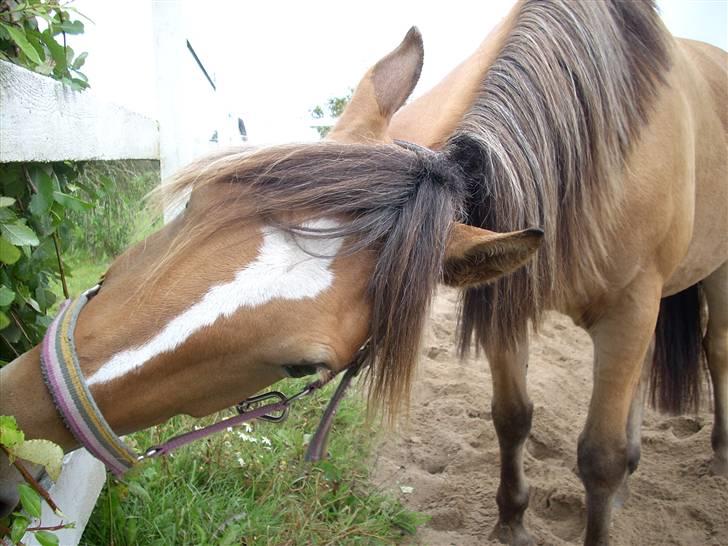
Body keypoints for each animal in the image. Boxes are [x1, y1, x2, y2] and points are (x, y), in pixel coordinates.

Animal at [382, 1, 728, 544]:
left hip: (715, 274)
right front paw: (511, 520)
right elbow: (512, 418)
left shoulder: (630, 309)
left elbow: (600, 458)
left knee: (717, 351)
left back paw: (719, 456)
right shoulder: (506, 295)